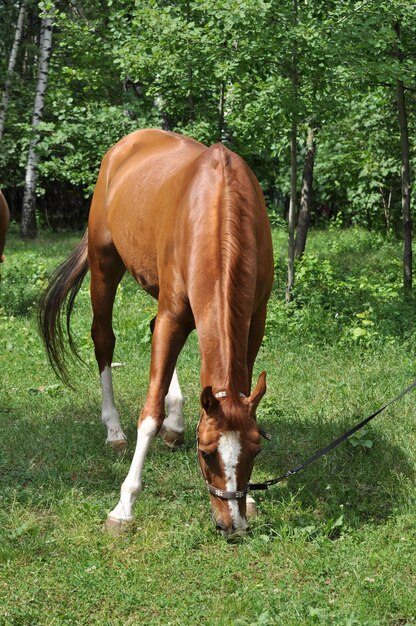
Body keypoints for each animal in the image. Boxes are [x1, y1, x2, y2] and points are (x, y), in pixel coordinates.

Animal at [38, 129, 272, 532]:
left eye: (256, 448)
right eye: (206, 453)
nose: (232, 525)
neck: (220, 208)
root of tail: (126, 144)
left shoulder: (254, 320)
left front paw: (252, 497)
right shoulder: (173, 314)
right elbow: (149, 415)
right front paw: (124, 505)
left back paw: (175, 421)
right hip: (105, 266)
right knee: (104, 339)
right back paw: (114, 430)